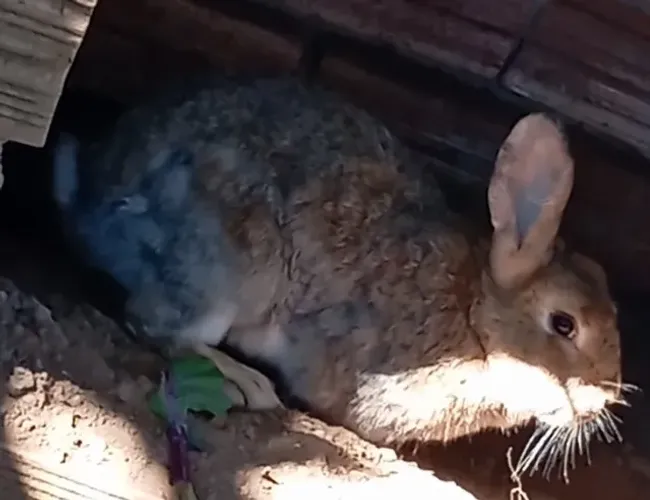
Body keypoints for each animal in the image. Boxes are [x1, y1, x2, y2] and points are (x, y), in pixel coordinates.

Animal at [53, 75, 625, 472]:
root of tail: (89, 199)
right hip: (234, 262)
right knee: (156, 323)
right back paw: (245, 382)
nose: (604, 402)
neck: (475, 319)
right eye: (564, 324)